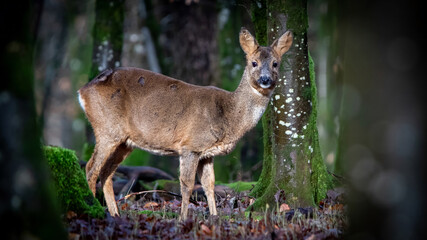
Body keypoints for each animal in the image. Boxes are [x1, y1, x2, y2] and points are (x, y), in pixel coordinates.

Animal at [77, 28, 294, 219]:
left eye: (275, 63)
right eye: (254, 62)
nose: (265, 80)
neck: (228, 115)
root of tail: (83, 91)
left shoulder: (207, 152)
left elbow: (209, 185)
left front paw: (215, 217)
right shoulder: (190, 145)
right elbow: (187, 185)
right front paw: (183, 219)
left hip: (124, 141)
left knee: (106, 172)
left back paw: (114, 214)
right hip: (107, 128)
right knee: (91, 169)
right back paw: (92, 210)